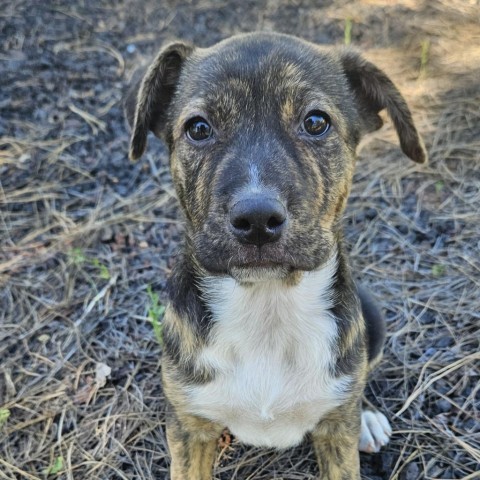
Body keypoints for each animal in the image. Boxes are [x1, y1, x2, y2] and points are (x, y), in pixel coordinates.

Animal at [124, 31, 428, 478]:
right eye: (198, 128)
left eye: (316, 122)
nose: (256, 219)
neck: (267, 307)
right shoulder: (188, 430)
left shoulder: (336, 437)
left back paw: (367, 417)